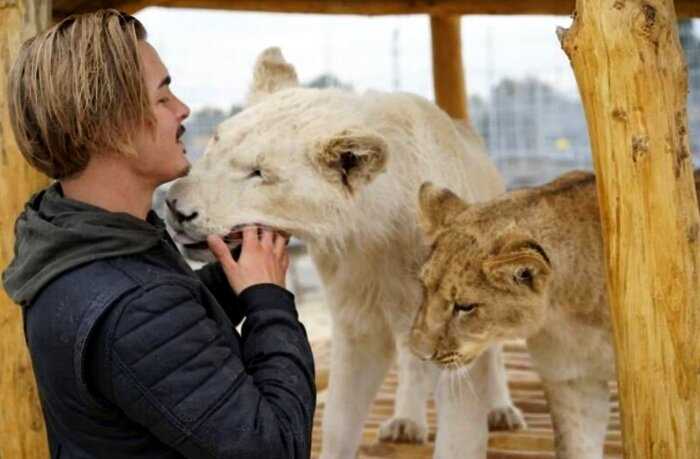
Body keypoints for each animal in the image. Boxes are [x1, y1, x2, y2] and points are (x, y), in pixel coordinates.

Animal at [167, 47, 524, 459]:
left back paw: (502, 412)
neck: (376, 237)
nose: (175, 207)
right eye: (215, 143)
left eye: (259, 173)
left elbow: (459, 434)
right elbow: (339, 419)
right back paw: (406, 423)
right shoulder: (358, 319)